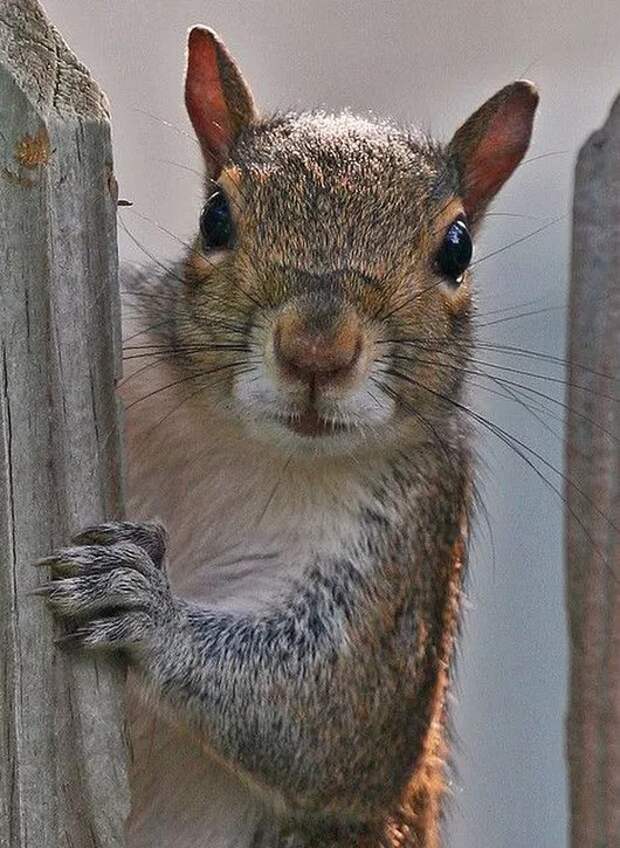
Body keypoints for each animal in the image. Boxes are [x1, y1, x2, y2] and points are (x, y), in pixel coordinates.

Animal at [37, 23, 536, 848]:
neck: (247, 443)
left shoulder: (413, 543)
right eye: (215, 216)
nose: (317, 351)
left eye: (457, 249)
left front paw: (145, 608)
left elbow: (330, 710)